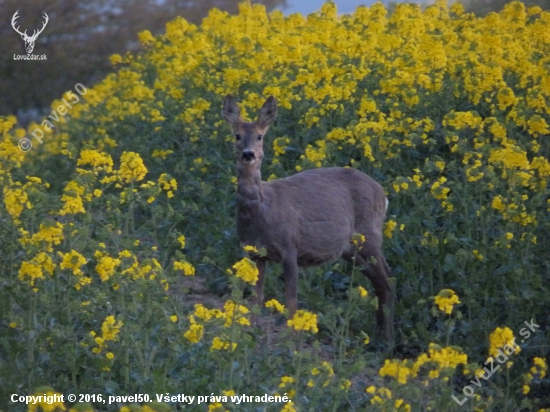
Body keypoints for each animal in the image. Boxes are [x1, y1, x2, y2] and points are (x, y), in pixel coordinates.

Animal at [222, 94, 394, 342]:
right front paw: (251, 336)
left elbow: (291, 300)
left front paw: (292, 342)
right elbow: (256, 298)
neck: (262, 212)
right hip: (351, 248)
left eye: (260, 136)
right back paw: (379, 337)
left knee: (388, 279)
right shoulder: (255, 253)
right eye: (237, 135)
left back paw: (388, 340)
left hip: (370, 234)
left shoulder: (289, 246)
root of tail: (383, 192)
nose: (248, 154)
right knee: (379, 281)